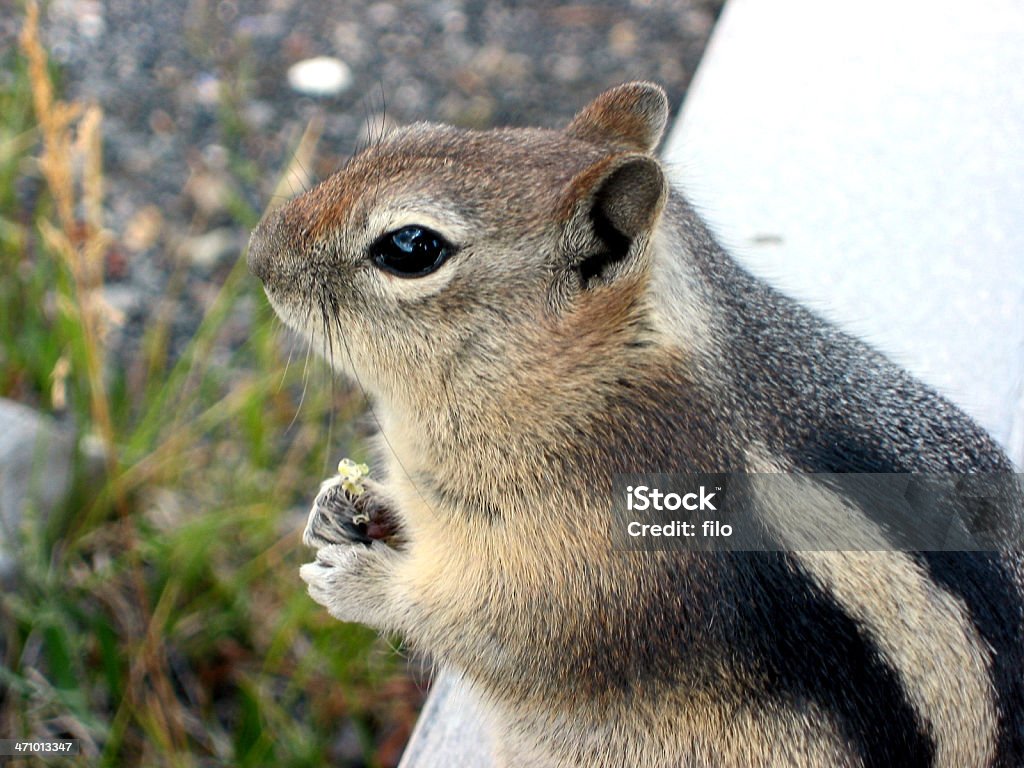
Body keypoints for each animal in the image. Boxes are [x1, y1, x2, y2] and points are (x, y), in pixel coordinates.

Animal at [249, 82, 1024, 768]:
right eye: (406, 135)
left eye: (409, 247)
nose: (259, 255)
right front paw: (340, 506)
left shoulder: (602, 568)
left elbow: (497, 634)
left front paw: (358, 582)